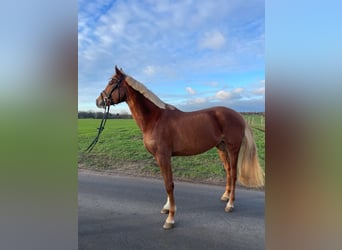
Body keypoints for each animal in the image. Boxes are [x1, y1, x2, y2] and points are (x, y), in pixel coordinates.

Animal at [95, 66, 264, 229]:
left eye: (112, 82)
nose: (98, 101)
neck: (155, 119)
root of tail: (239, 115)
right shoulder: (161, 158)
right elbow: (167, 182)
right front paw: (167, 207)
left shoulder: (163, 156)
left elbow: (169, 184)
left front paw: (170, 218)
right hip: (221, 149)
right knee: (228, 172)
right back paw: (225, 196)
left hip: (233, 149)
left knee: (234, 174)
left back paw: (230, 204)